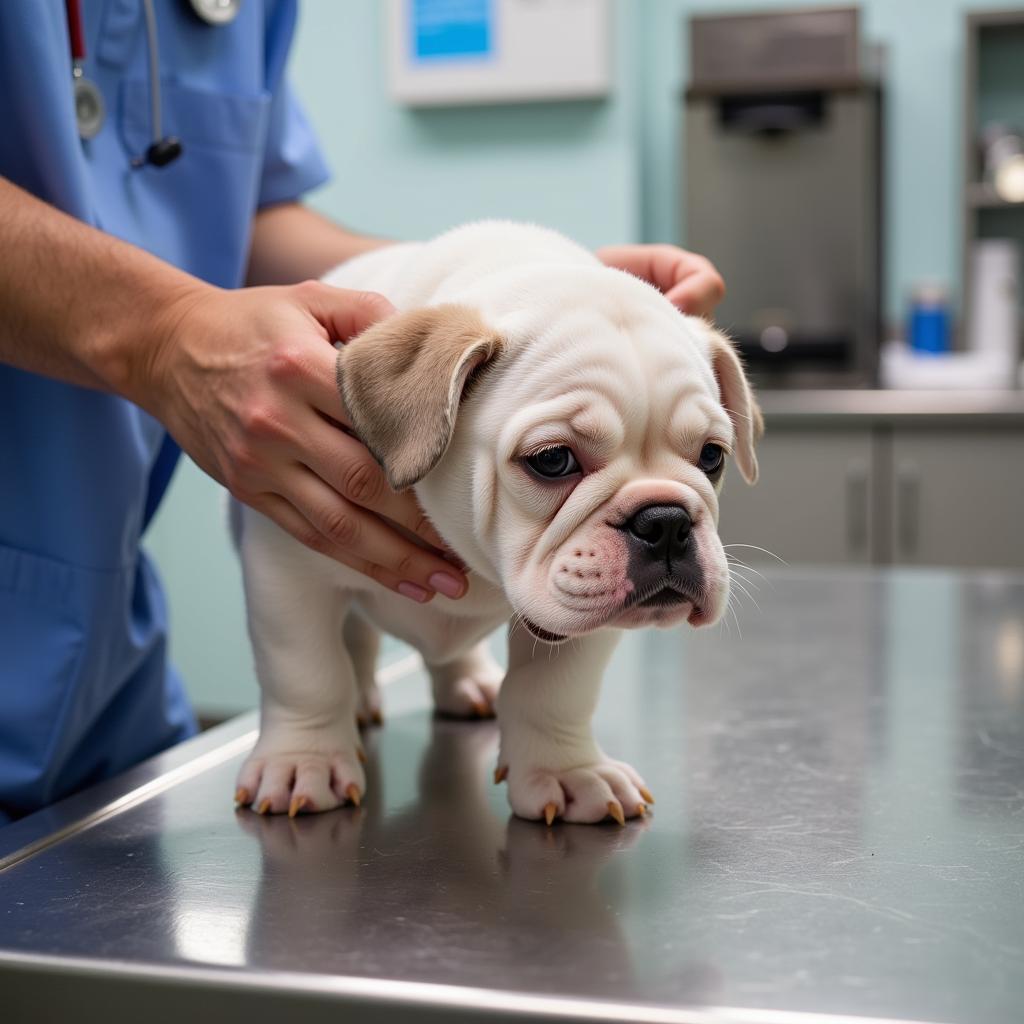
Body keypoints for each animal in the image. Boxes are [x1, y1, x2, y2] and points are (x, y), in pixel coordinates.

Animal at [232, 222, 761, 823]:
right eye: (552, 460)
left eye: (712, 457)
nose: (666, 521)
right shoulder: (287, 567)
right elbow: (305, 671)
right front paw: (303, 761)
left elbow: (555, 692)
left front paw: (569, 773)